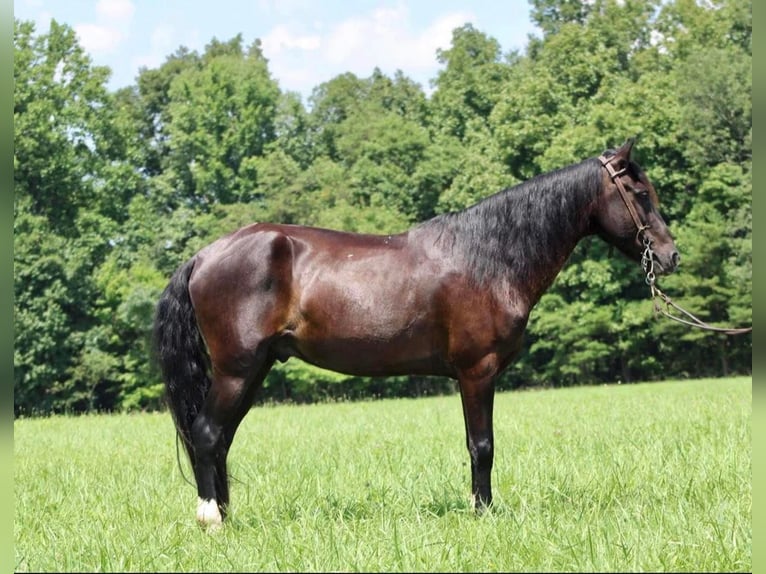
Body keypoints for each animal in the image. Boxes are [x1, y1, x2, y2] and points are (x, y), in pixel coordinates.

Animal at [153, 140, 680, 532]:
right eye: (640, 192)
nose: (670, 255)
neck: (488, 258)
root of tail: (202, 256)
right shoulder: (476, 372)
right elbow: (482, 446)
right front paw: (484, 514)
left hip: (254, 371)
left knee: (220, 440)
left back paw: (226, 515)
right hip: (237, 370)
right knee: (207, 434)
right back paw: (211, 520)